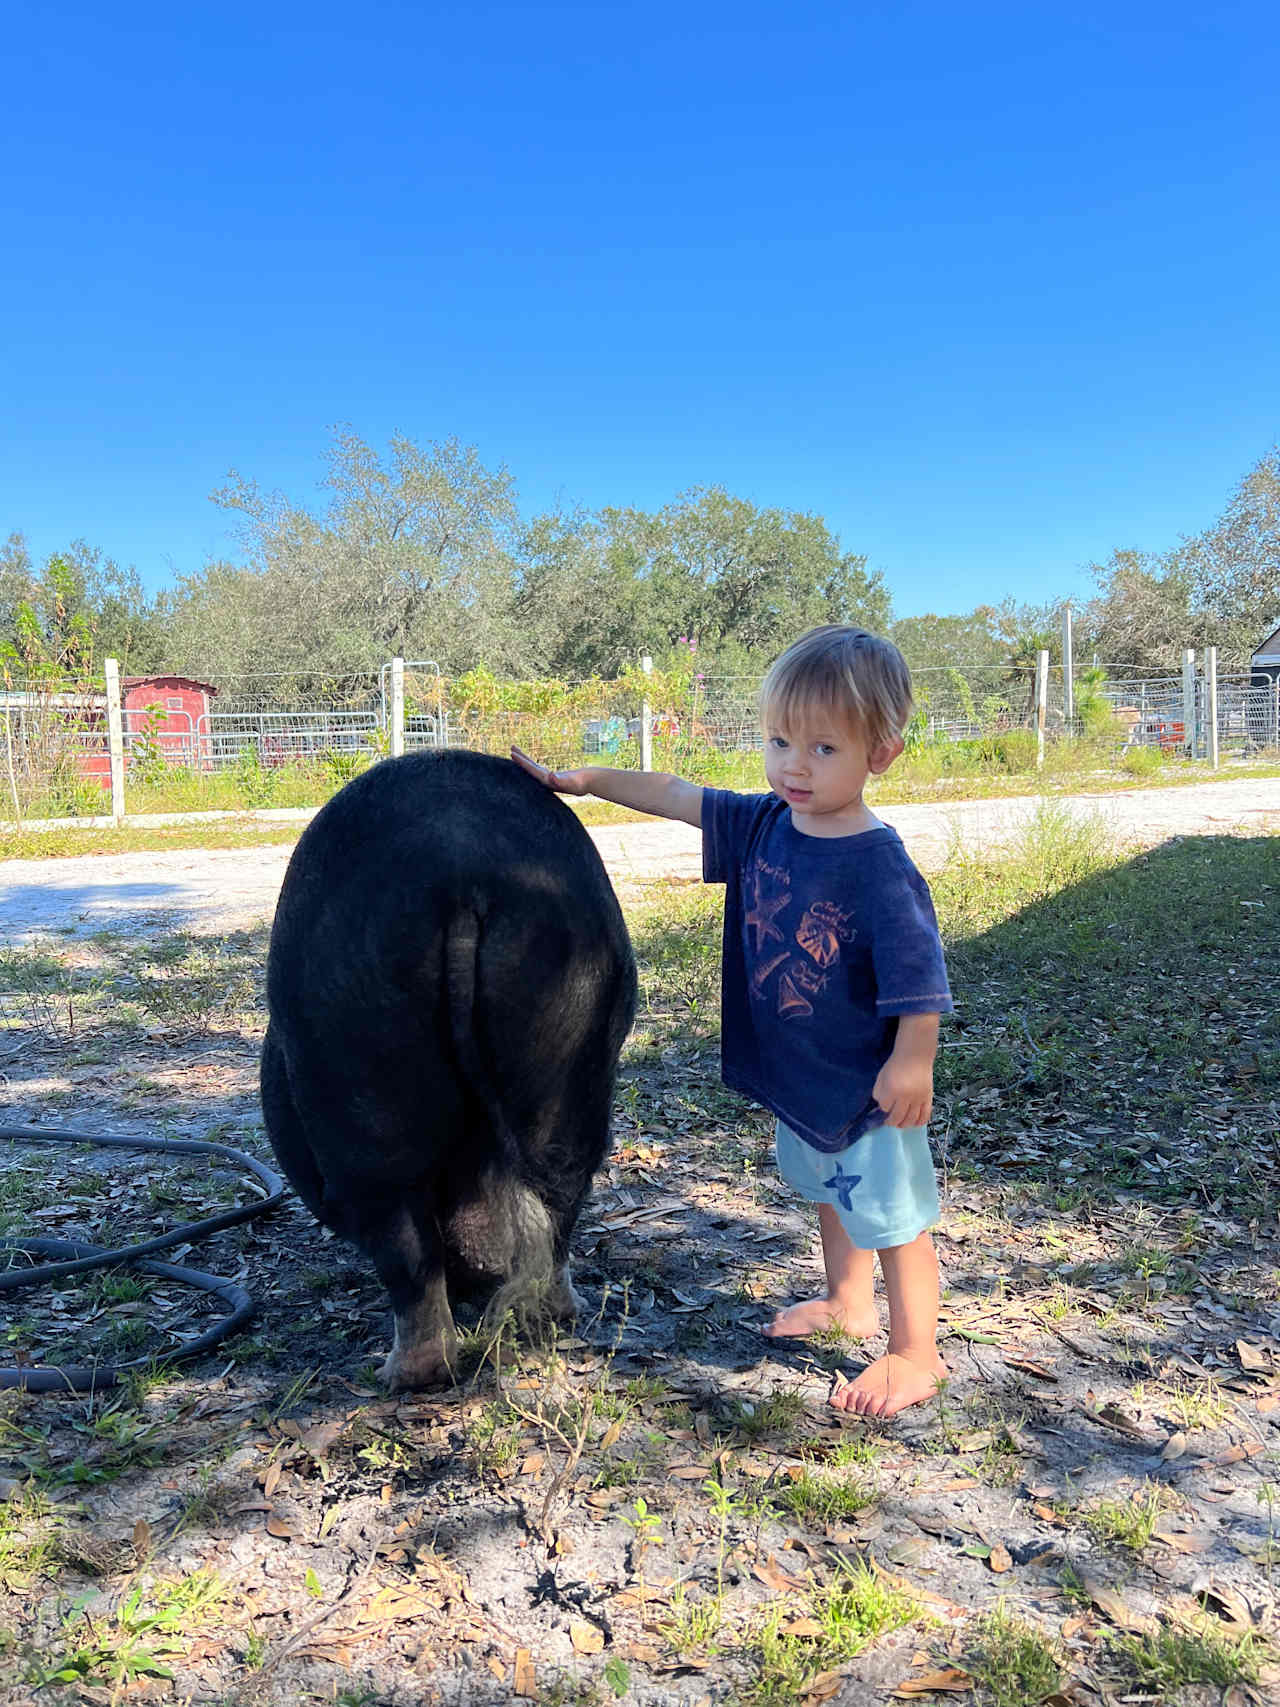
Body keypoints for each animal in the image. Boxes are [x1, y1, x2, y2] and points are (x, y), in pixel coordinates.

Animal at [261, 757, 638, 1386]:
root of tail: (463, 875)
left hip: (360, 1067)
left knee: (400, 1233)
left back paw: (398, 1375)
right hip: (570, 1031)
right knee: (562, 1182)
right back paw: (557, 1313)